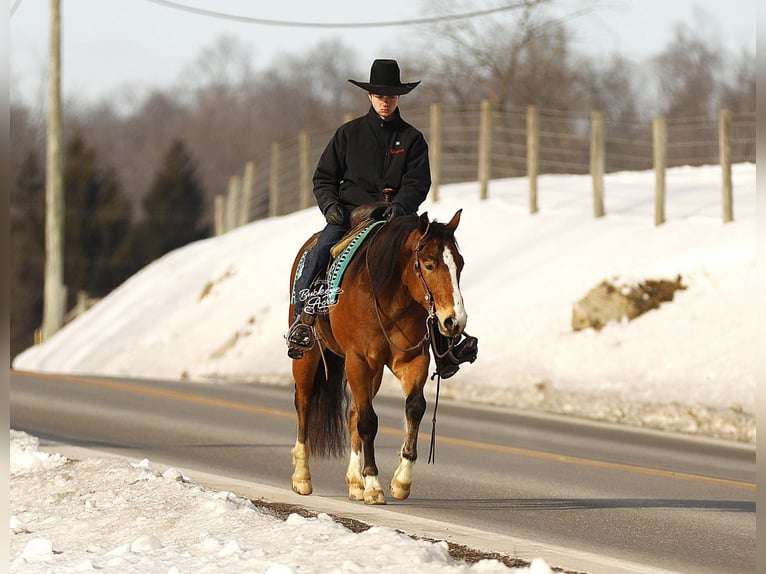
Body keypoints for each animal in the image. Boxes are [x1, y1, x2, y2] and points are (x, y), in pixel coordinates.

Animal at [288, 209, 467, 505]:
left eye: (460, 265)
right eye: (429, 264)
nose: (455, 321)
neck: (388, 296)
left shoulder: (412, 360)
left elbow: (414, 408)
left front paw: (401, 480)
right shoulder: (358, 360)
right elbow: (369, 422)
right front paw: (373, 484)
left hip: (373, 373)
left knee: (352, 412)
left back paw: (354, 482)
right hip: (309, 356)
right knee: (304, 404)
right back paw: (302, 478)